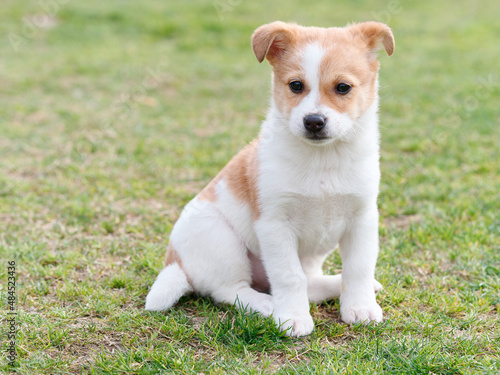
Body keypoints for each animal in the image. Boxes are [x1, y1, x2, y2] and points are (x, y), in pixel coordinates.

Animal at [145, 20, 394, 338]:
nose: (313, 122)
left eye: (343, 88)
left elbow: (359, 268)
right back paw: (268, 305)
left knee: (310, 283)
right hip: (222, 240)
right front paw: (292, 318)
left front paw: (360, 307)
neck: (322, 160)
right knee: (231, 290)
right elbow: (288, 276)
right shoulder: (275, 224)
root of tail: (175, 264)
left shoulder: (362, 219)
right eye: (296, 85)